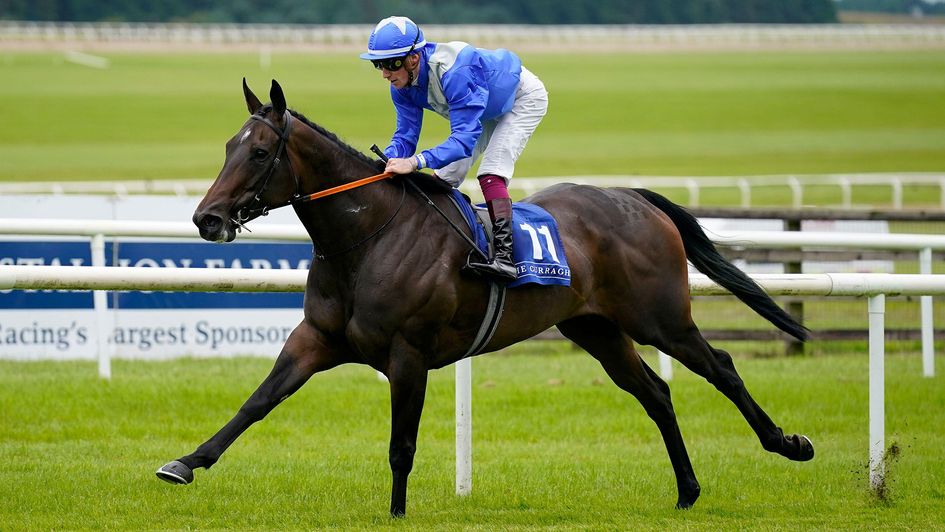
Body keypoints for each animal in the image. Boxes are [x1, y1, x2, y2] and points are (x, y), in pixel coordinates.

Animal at [155, 79, 812, 516]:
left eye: (260, 152)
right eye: (227, 148)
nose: (206, 218)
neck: (367, 239)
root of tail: (633, 197)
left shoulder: (408, 354)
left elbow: (401, 444)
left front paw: (396, 514)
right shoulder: (316, 340)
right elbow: (257, 403)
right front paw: (184, 463)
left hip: (661, 319)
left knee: (721, 368)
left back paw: (787, 443)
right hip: (596, 328)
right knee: (655, 393)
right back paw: (687, 491)